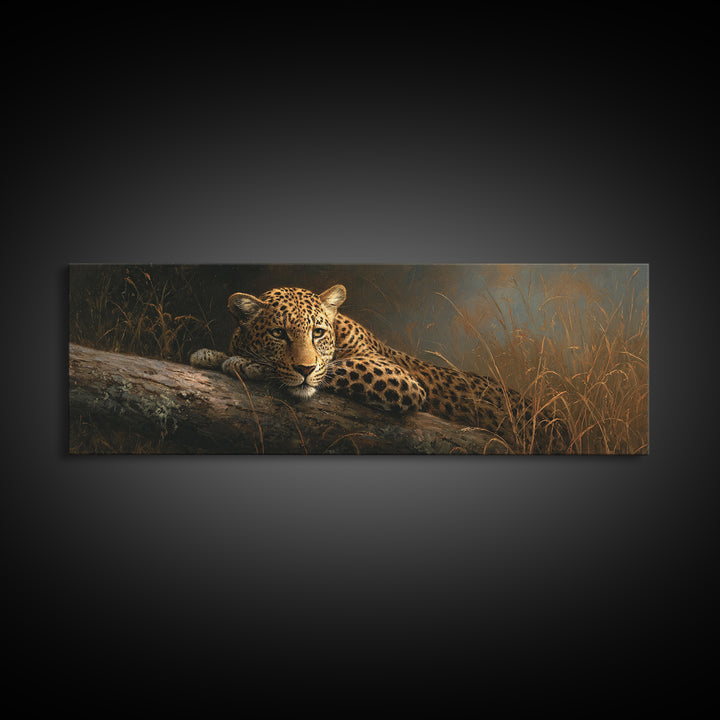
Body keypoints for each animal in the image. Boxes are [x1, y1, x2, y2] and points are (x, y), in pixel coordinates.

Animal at [190, 284, 567, 452]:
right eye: (278, 333)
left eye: (317, 332)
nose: (303, 366)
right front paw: (210, 354)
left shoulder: (400, 378)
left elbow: (331, 370)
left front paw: (241, 362)